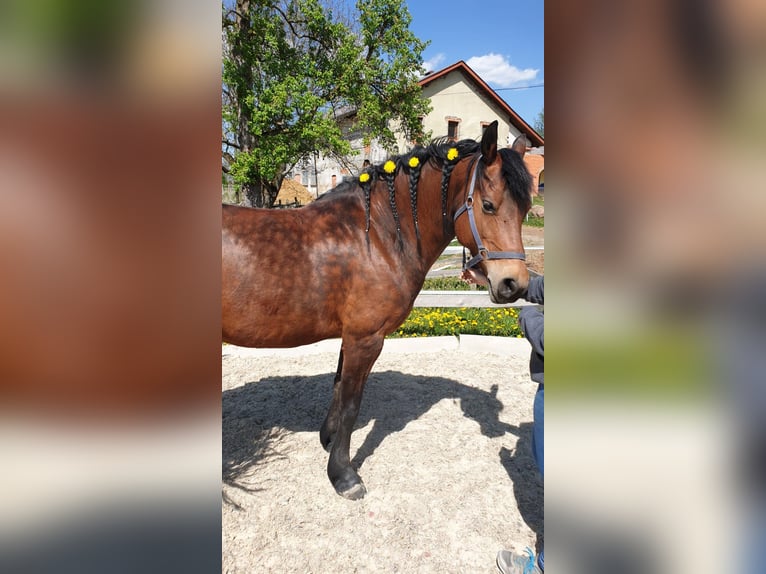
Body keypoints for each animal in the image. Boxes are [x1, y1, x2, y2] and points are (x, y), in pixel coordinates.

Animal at [222, 121, 532, 499]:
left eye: (525, 209)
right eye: (488, 205)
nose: (513, 285)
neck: (376, 236)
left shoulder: (350, 336)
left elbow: (339, 389)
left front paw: (328, 439)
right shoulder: (365, 338)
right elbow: (351, 404)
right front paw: (343, 475)